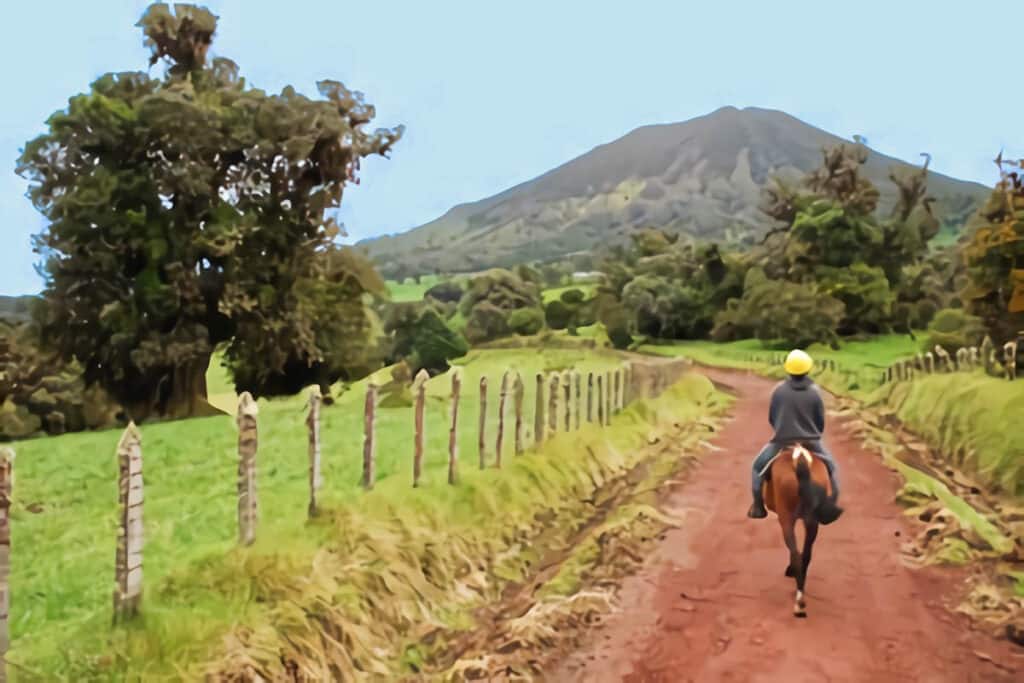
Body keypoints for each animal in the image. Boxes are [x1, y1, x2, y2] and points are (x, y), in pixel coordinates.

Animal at [765, 446, 843, 618]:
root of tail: (800, 457)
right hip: (812, 521)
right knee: (806, 554)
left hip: (786, 517)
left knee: (795, 553)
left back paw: (799, 602)